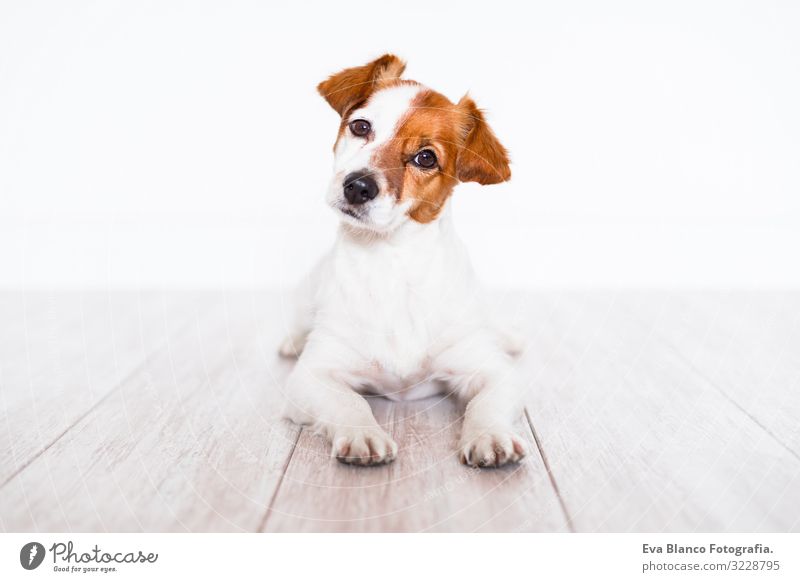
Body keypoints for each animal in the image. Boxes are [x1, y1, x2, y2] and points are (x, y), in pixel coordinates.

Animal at [278, 54, 528, 470]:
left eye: (426, 157)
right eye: (361, 126)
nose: (358, 186)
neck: (390, 262)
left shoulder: (493, 372)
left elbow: (487, 402)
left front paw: (490, 435)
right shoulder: (311, 377)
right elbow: (350, 401)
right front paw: (362, 434)